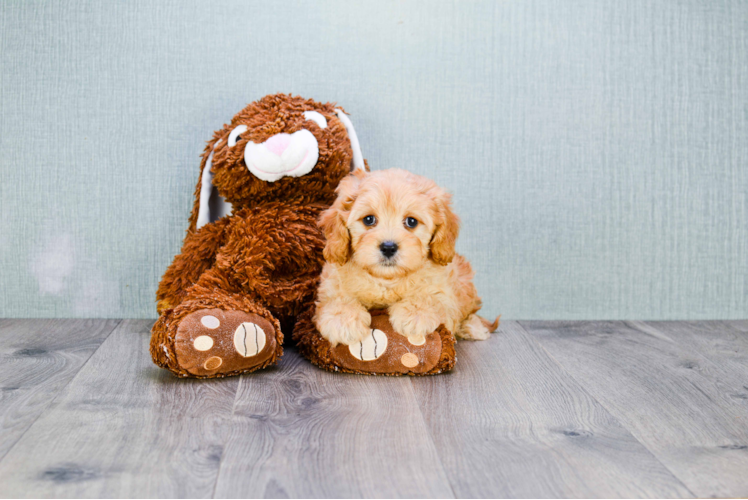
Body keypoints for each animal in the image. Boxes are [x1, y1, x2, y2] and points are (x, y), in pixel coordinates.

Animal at [312, 169, 500, 348]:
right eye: (369, 219)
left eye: (411, 222)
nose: (388, 247)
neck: (387, 279)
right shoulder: (331, 284)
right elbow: (336, 300)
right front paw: (342, 320)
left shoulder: (445, 291)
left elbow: (432, 299)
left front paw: (415, 314)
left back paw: (473, 328)